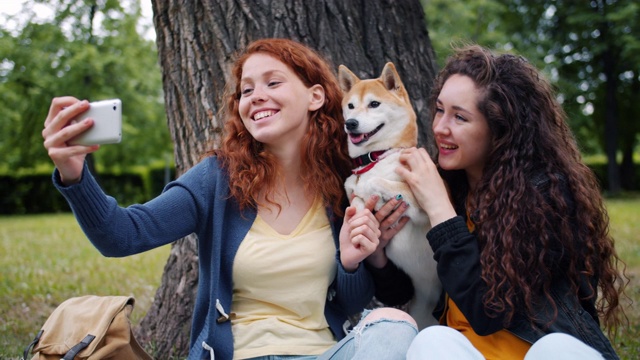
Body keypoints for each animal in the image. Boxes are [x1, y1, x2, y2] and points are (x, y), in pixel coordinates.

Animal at [340, 62, 440, 330]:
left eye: (374, 104)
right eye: (350, 106)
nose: (350, 123)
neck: (377, 157)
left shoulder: (422, 207)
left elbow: (375, 183)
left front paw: (367, 188)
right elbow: (353, 196)